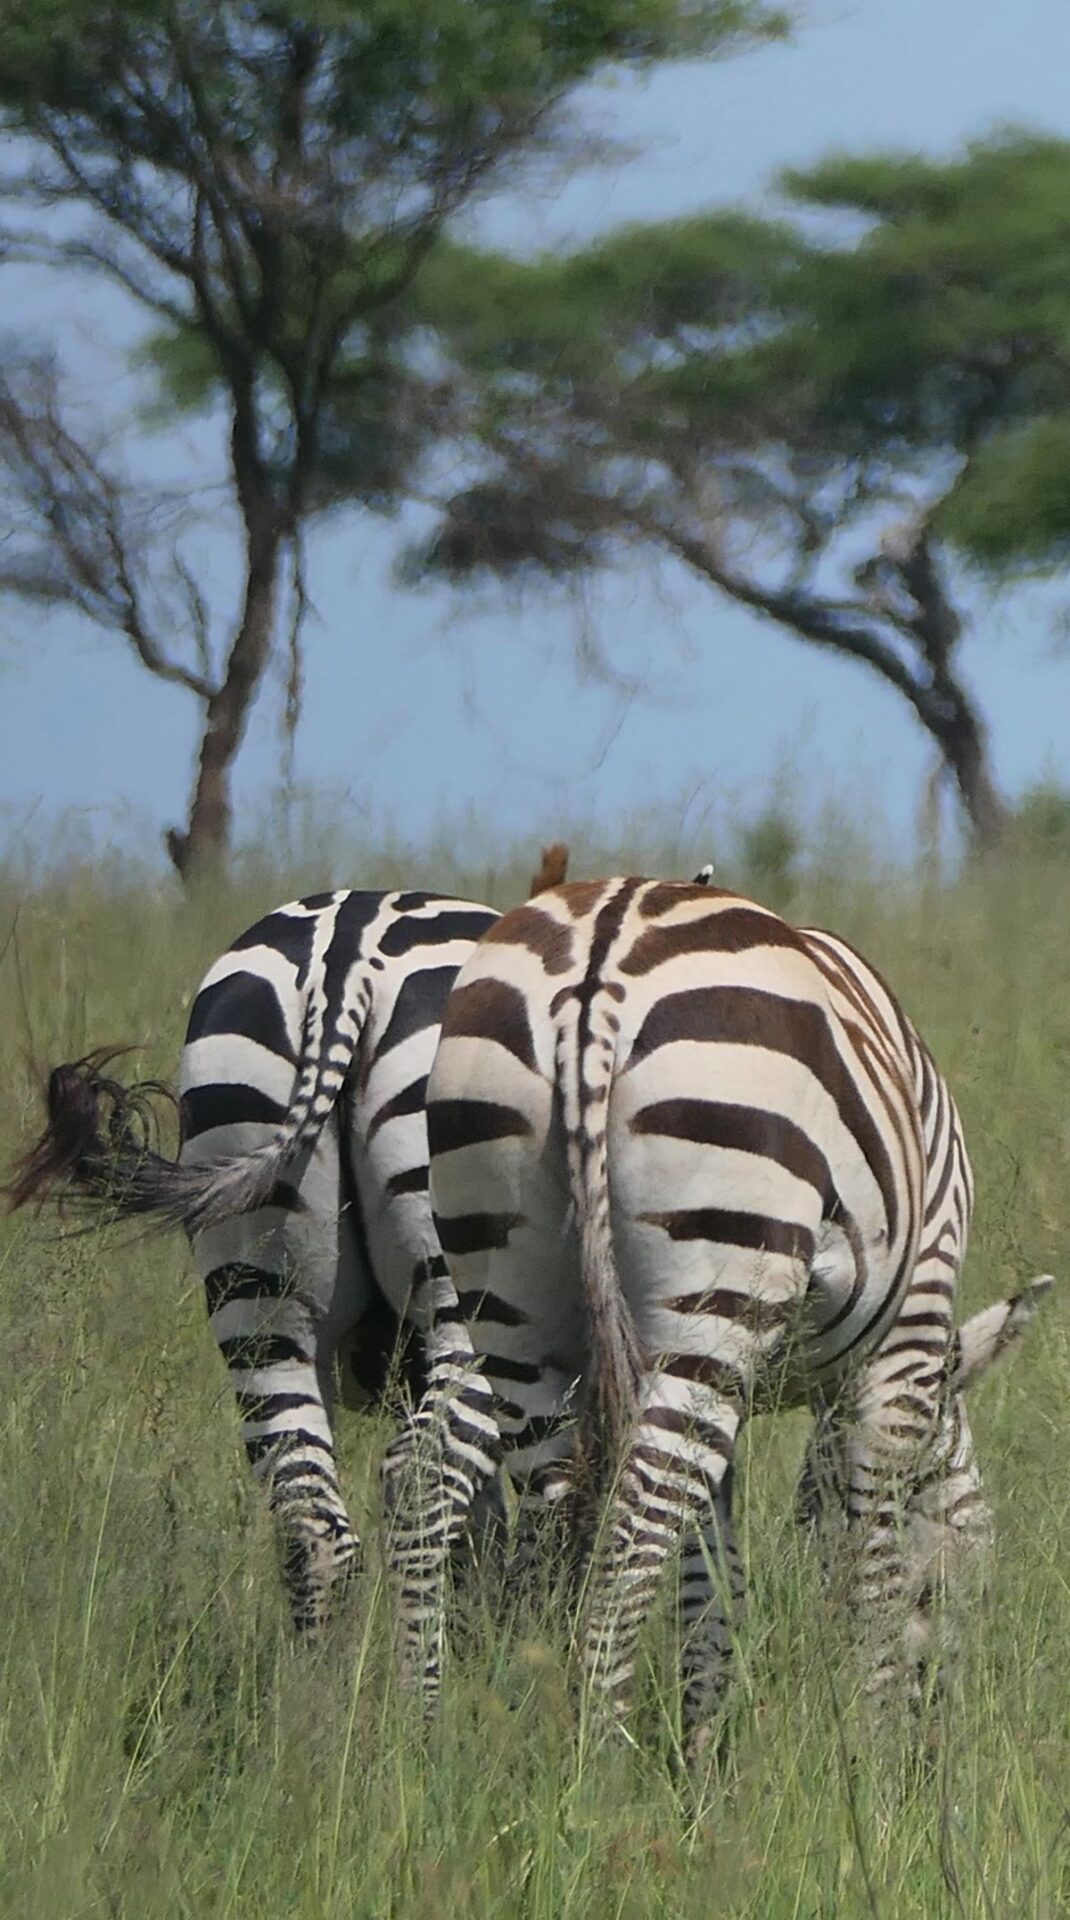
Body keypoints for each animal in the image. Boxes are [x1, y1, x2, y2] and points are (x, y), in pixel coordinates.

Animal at [8, 883, 503, 1697]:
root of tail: (345, 951)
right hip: (471, 1303)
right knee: (418, 1483)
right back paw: (418, 1712)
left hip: (256, 1282)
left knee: (310, 1516)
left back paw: (316, 1720)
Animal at [426, 879, 1052, 1751]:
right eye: (970, 1539)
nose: (941, 1738)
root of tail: (600, 951)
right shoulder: (907, 1338)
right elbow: (874, 1565)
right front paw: (875, 1754)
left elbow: (712, 1582)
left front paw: (707, 1760)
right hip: (719, 1251)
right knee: (628, 1549)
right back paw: (599, 1765)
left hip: (517, 1290)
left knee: (560, 1524)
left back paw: (550, 1756)